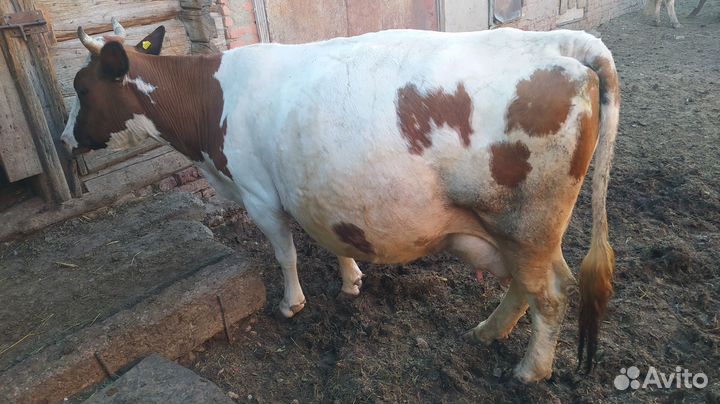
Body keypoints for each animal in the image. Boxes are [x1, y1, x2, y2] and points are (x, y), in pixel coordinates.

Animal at [60, 18, 619, 383]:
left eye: (81, 89)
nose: (66, 141)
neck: (210, 104)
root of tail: (564, 42)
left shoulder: (259, 194)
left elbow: (285, 254)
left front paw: (291, 304)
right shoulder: (319, 190)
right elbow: (331, 236)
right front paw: (351, 280)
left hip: (525, 223)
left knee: (552, 293)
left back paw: (530, 370)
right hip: (529, 232)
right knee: (538, 285)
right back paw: (487, 332)